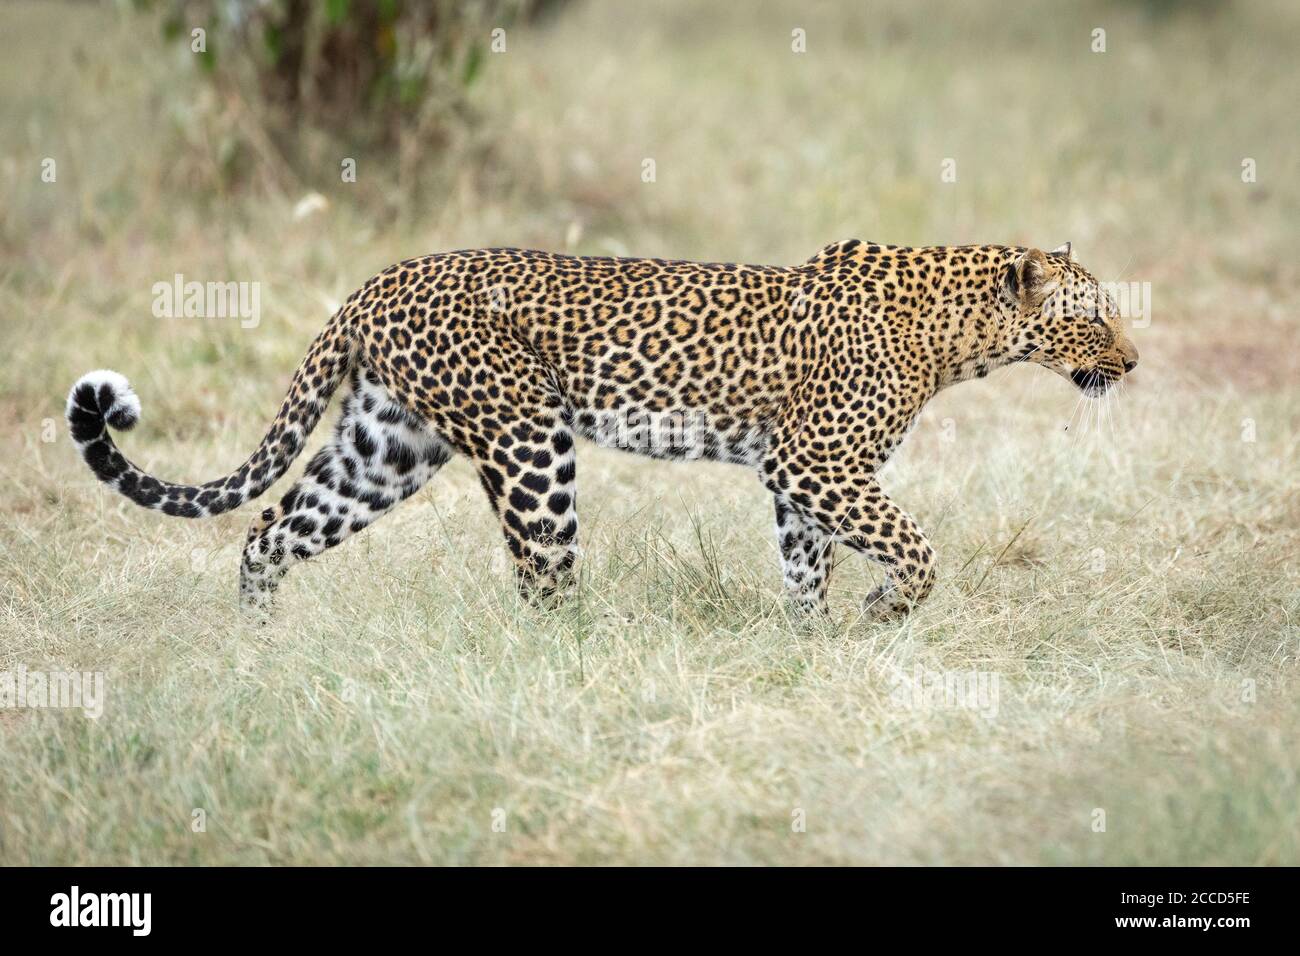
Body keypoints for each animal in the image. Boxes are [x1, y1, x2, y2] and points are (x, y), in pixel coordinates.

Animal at [65, 239, 1138, 621]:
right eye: (1095, 317)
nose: (1131, 364)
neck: (959, 332)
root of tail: (376, 281)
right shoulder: (815, 462)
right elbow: (915, 549)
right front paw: (883, 613)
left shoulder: (801, 479)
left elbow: (808, 567)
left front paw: (816, 645)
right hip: (529, 442)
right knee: (542, 578)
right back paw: (577, 662)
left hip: (387, 447)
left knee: (268, 530)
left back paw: (261, 645)